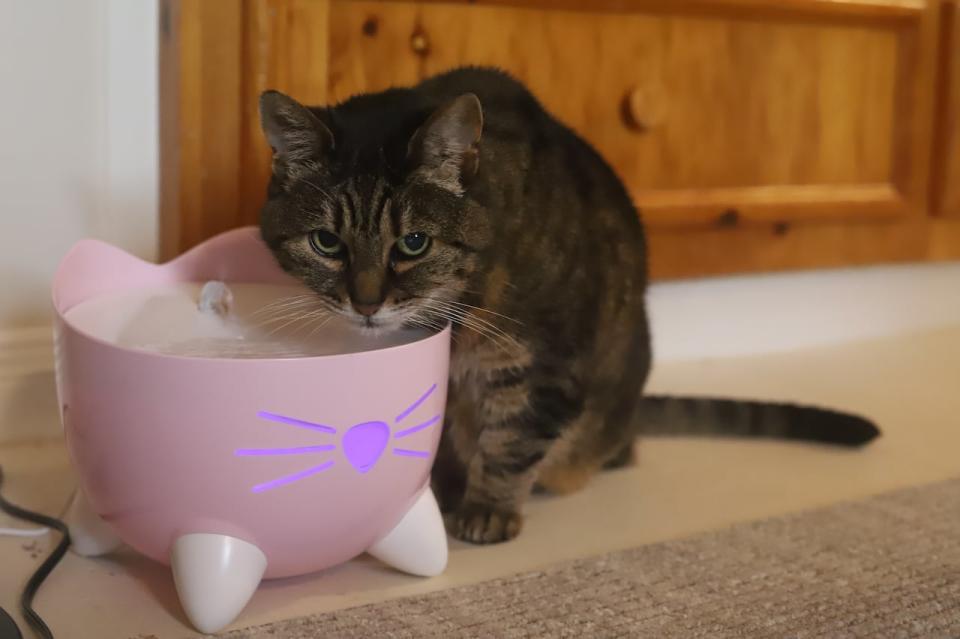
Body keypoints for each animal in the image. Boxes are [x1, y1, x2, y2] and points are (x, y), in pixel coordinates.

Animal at [256, 66, 876, 544]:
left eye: (413, 243)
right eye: (326, 242)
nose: (365, 303)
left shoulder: (545, 362)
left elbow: (510, 441)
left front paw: (487, 511)